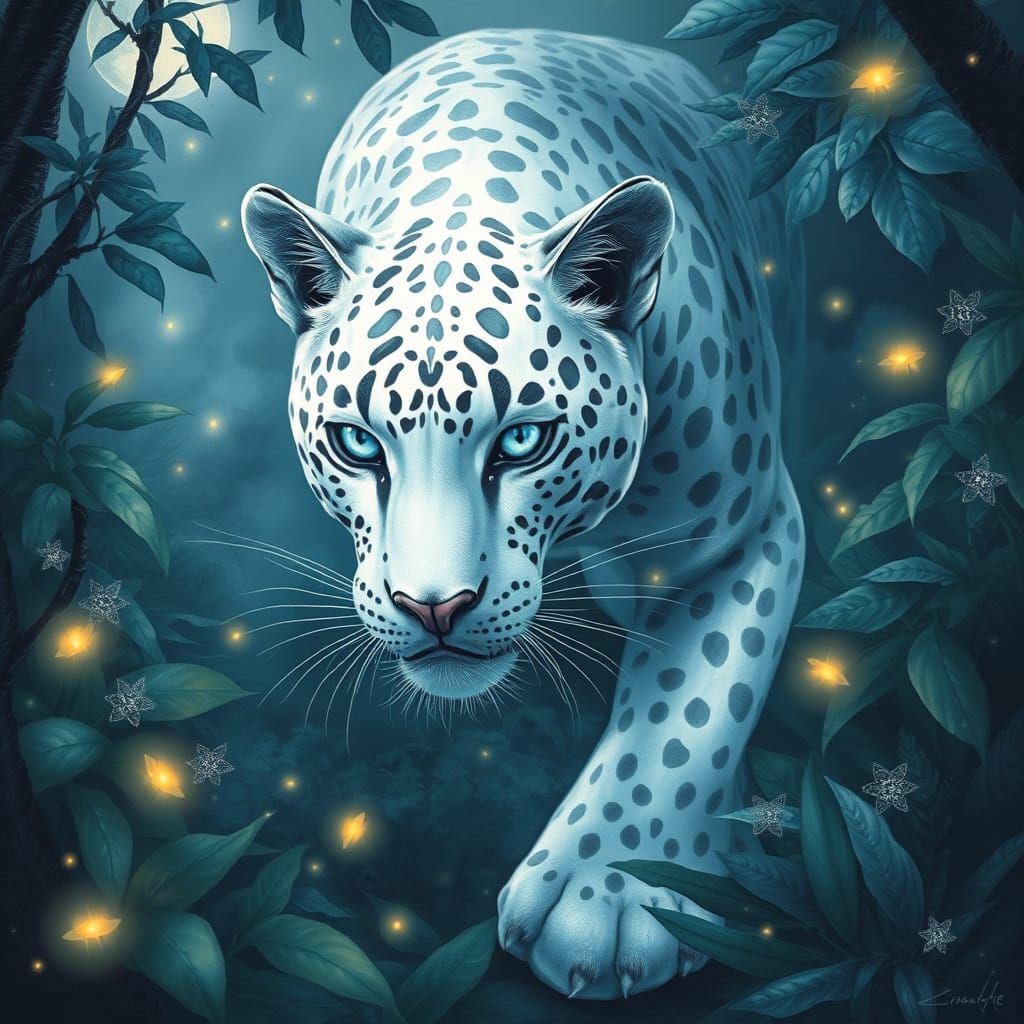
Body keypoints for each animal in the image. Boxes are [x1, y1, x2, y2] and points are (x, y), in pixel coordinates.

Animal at [242, 27, 805, 1000]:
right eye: (357, 444)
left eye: (523, 440)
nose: (433, 607)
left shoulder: (741, 532)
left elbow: (690, 711)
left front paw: (611, 892)